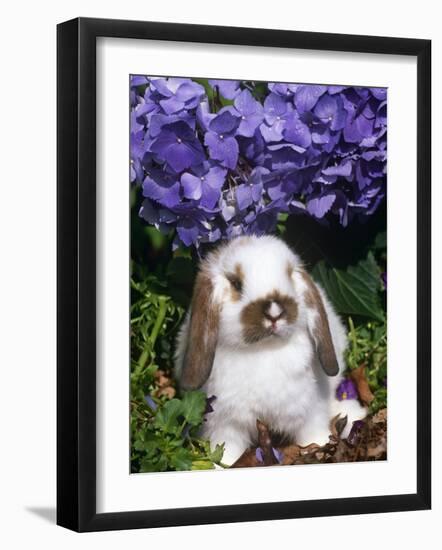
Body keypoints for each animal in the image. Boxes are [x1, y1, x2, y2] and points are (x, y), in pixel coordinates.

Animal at [174, 235, 364, 468]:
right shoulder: (224, 424)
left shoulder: (309, 411)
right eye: (236, 283)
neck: (263, 350)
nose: (275, 312)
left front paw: (320, 447)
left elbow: (313, 435)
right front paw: (220, 465)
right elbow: (225, 450)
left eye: (289, 274)